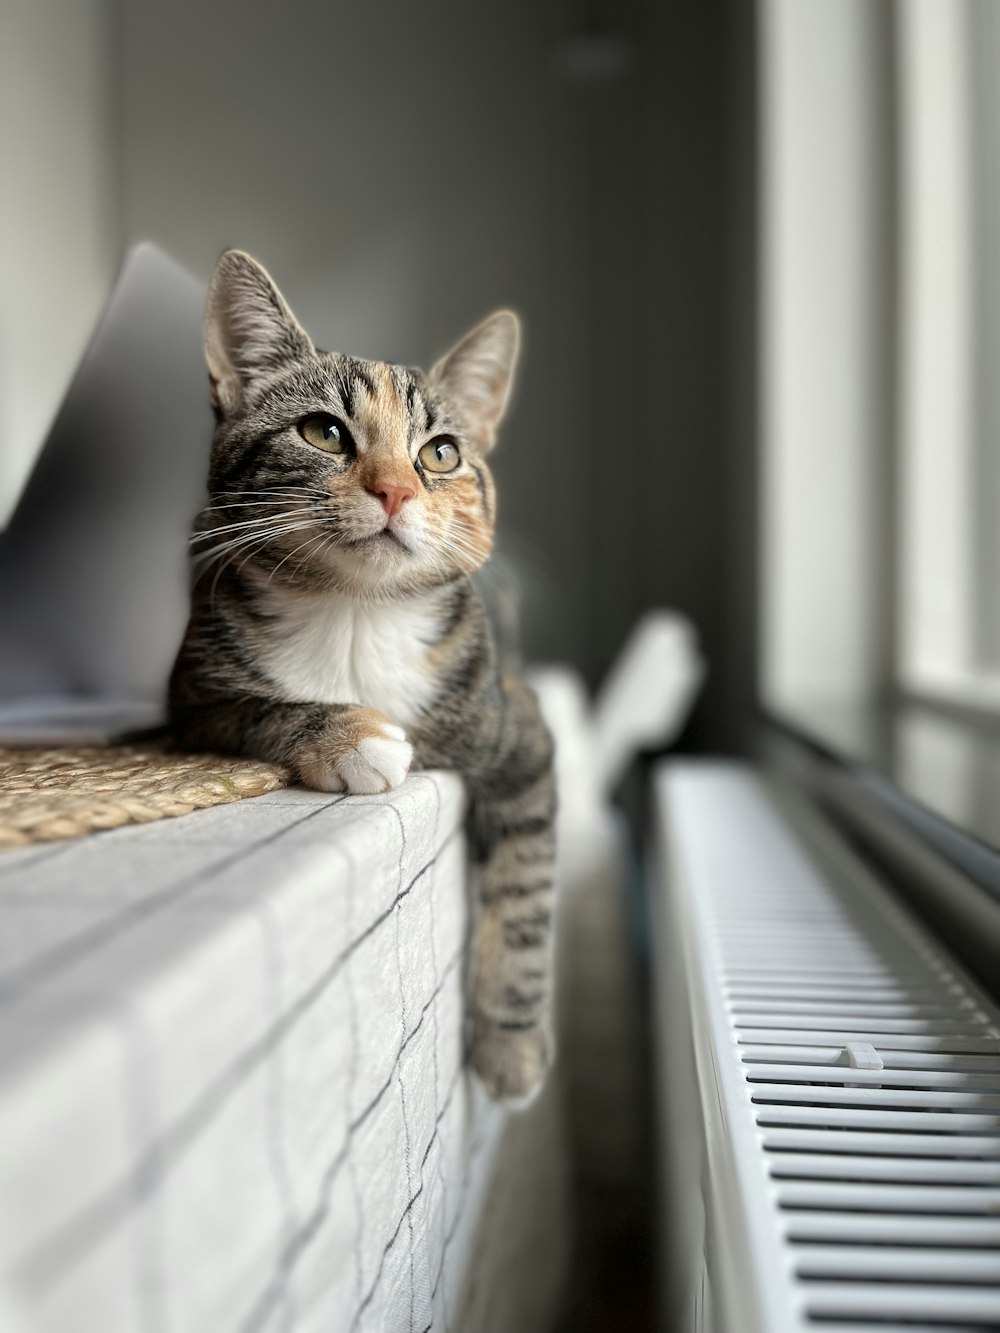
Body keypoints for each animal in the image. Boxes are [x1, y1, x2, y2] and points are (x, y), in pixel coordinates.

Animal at [169, 250, 560, 1103]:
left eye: (440, 452)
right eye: (323, 431)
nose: (395, 489)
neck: (356, 613)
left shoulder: (519, 731)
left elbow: (525, 892)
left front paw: (511, 1047)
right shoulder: (189, 700)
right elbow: (252, 708)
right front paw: (352, 737)